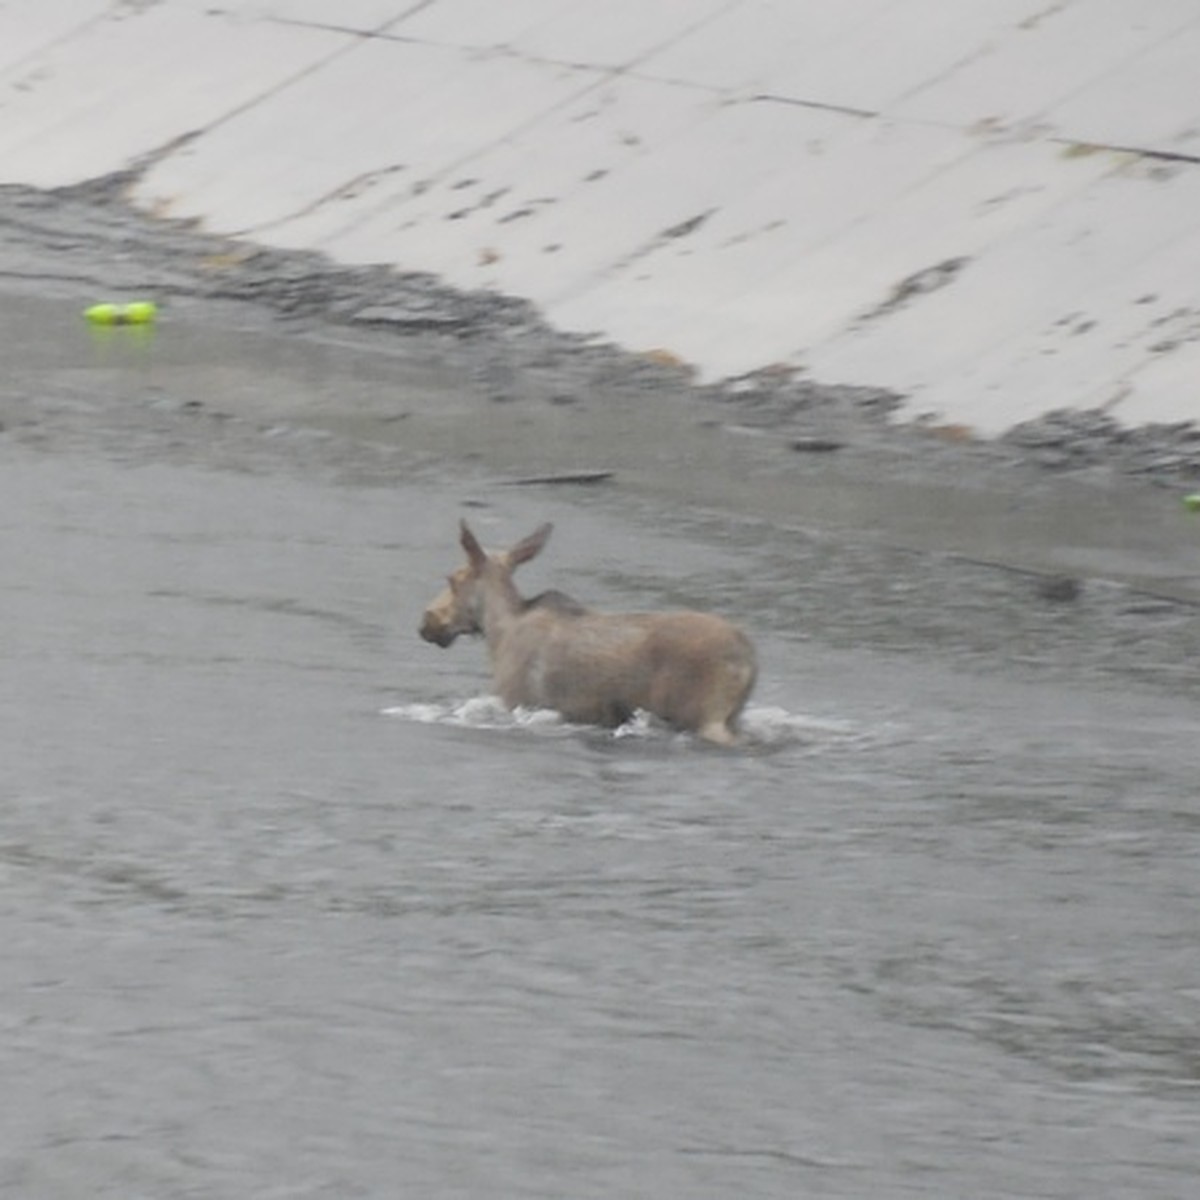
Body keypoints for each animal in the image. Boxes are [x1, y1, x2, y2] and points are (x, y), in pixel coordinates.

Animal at [422, 520, 753, 744]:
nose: (426, 622)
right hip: (732, 716)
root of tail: (750, 658)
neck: (498, 632)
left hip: (707, 717)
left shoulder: (514, 701)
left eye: (452, 579)